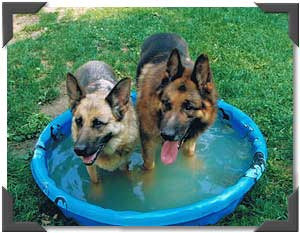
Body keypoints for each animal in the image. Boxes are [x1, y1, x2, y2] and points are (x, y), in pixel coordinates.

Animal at [137, 32, 218, 169]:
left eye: (188, 107)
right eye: (166, 103)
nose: (167, 135)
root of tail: (164, 33)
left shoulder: (190, 145)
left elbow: (189, 158)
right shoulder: (147, 143)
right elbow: (149, 167)